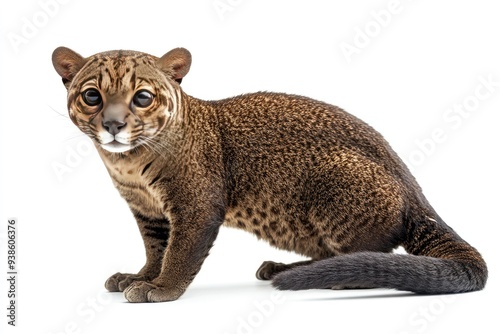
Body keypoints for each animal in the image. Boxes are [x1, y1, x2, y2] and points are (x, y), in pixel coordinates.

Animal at [52, 46, 486, 302]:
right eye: (92, 96)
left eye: (142, 97)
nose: (113, 125)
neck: (129, 165)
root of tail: (415, 190)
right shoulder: (149, 213)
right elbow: (155, 250)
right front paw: (139, 275)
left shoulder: (195, 207)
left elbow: (179, 253)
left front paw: (160, 288)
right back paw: (288, 269)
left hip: (336, 185)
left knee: (371, 252)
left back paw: (341, 278)